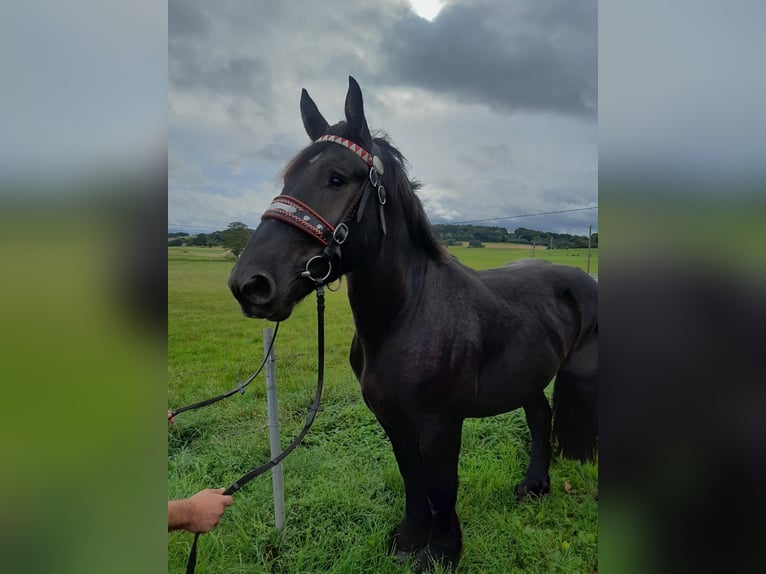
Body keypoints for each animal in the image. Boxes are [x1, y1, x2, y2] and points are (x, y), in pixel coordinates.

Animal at [228, 79, 600, 572]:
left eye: (336, 178)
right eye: (288, 180)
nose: (249, 284)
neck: (407, 316)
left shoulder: (440, 424)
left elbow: (441, 486)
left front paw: (442, 552)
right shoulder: (392, 418)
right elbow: (412, 478)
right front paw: (408, 540)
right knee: (540, 417)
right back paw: (534, 485)